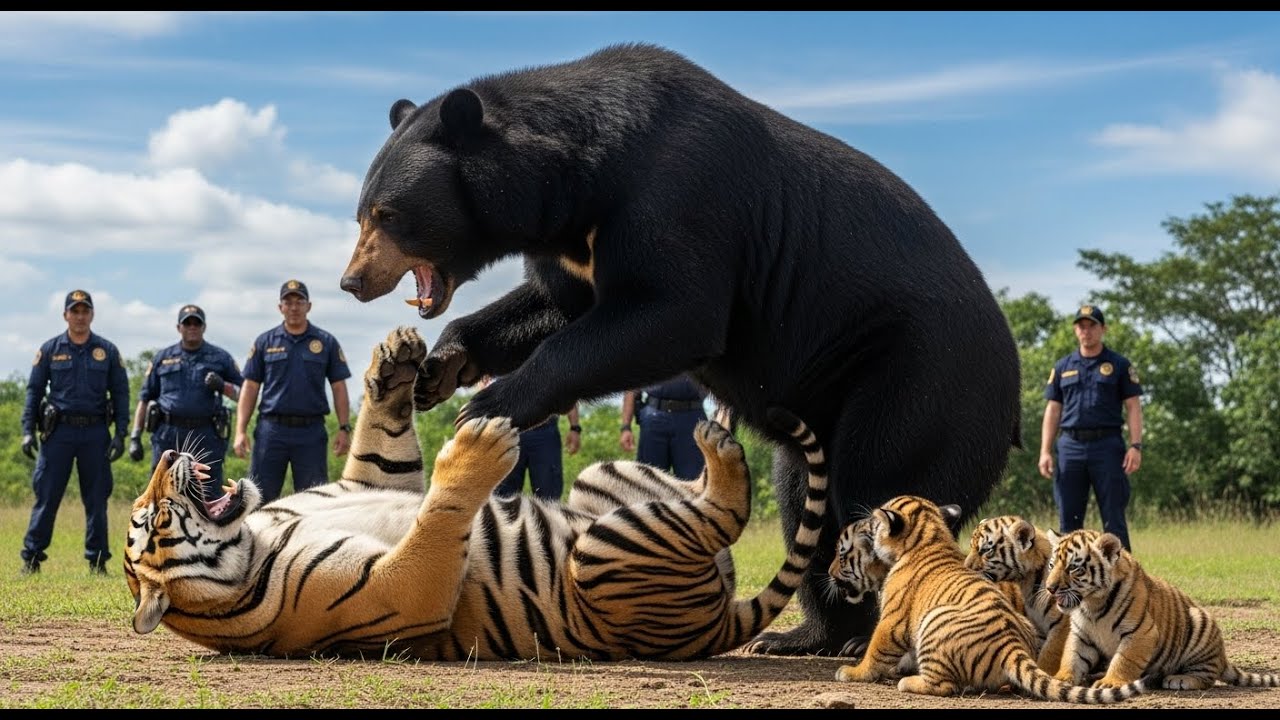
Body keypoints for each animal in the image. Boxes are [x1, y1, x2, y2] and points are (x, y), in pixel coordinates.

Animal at [124, 324, 828, 662]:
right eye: (154, 516)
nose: (167, 455)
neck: (255, 531)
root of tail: (718, 621)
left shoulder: (368, 478)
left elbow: (382, 445)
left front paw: (395, 360)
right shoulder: (403, 593)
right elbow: (437, 518)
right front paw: (478, 447)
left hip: (602, 476)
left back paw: (717, 435)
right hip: (601, 553)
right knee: (724, 515)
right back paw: (721, 448)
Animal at [964, 515, 1070, 675]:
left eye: (986, 550)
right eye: (971, 546)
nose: (964, 568)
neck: (1027, 582)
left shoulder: (1062, 626)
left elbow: (1049, 657)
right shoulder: (1038, 627)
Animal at [1045, 528, 1280, 690]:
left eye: (1073, 568)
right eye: (1051, 565)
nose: (1049, 588)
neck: (1092, 603)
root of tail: (1223, 658)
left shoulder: (1140, 632)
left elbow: (1124, 660)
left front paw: (1110, 682)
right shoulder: (1081, 635)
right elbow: (1072, 657)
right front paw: (1061, 679)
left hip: (1200, 623)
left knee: (1207, 676)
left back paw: (1180, 679)